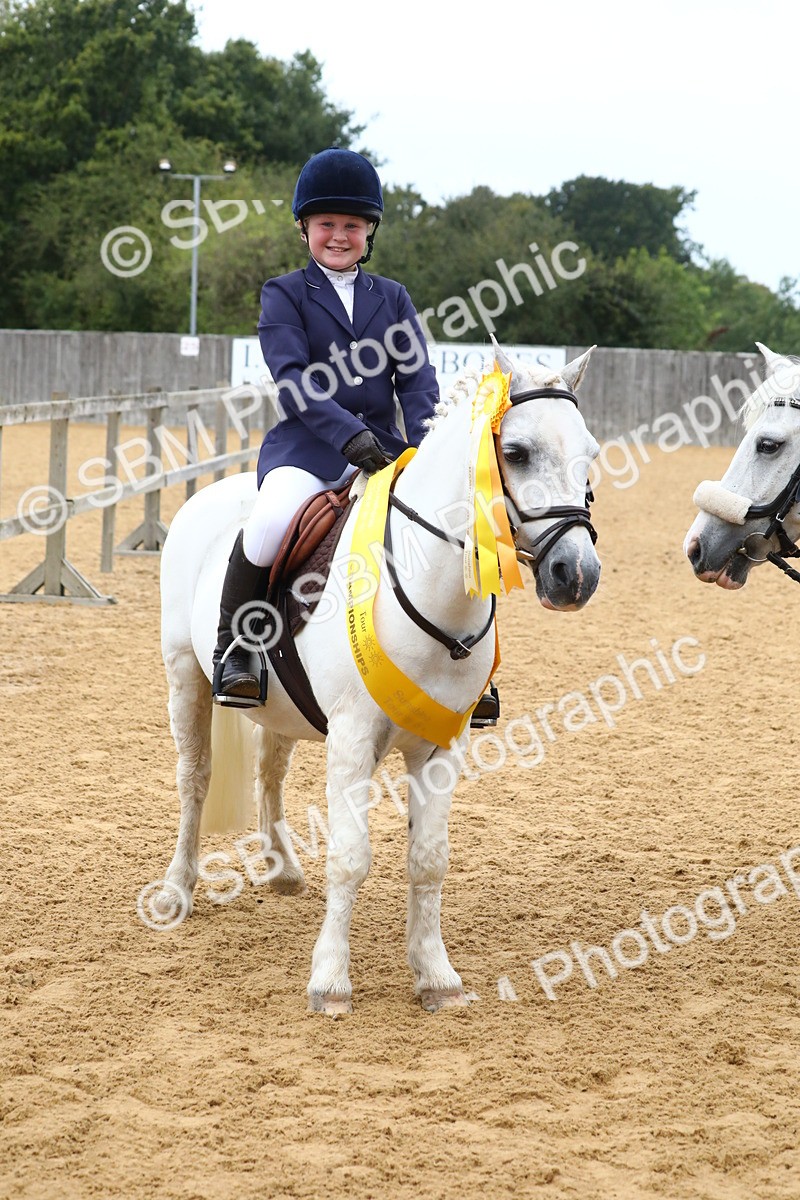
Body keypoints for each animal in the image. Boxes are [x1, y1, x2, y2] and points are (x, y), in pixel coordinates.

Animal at [155, 342, 602, 1014]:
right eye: (518, 452)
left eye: (590, 454)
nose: (577, 574)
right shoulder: (352, 737)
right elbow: (350, 856)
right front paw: (330, 981)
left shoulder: (443, 744)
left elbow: (429, 859)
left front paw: (436, 976)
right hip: (185, 675)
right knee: (195, 780)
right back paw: (177, 891)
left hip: (281, 707)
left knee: (269, 771)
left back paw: (283, 869)